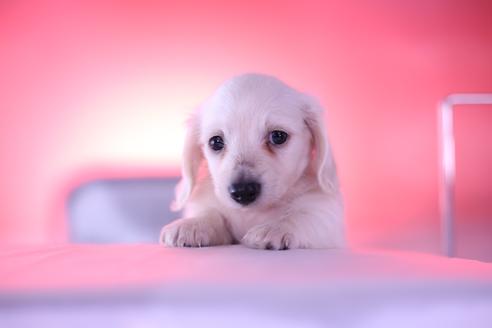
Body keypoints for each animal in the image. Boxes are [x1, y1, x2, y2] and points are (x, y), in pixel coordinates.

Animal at [160, 73, 344, 250]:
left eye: (278, 136)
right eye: (215, 142)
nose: (243, 191)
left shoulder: (326, 218)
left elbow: (302, 216)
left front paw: (275, 228)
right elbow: (211, 213)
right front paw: (193, 224)